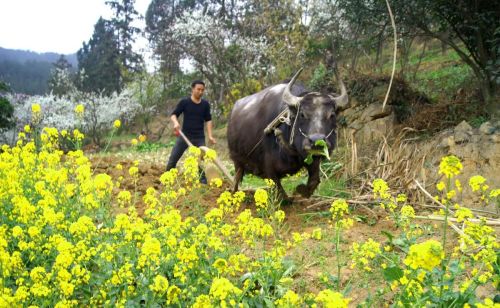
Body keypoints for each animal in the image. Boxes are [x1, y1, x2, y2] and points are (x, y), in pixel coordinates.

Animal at [227, 67, 348, 199]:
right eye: (302, 114)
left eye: (332, 115)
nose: (317, 141)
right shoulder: (268, 167)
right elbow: (280, 192)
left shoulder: (312, 159)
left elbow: (314, 180)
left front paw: (299, 190)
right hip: (236, 159)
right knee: (237, 177)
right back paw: (234, 192)